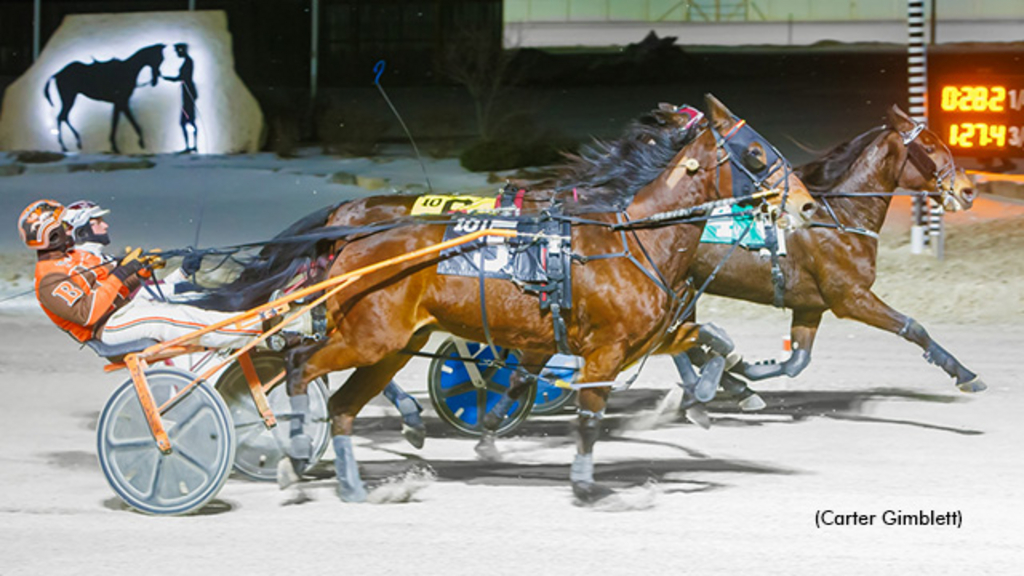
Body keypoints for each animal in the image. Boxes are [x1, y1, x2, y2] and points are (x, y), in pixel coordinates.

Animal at [256, 94, 815, 498]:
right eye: (756, 152)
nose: (807, 205)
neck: (630, 238)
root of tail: (352, 230)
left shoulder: (648, 335)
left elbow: (715, 339)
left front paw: (717, 393)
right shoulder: (605, 350)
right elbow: (588, 414)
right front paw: (587, 484)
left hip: (392, 344)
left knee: (343, 403)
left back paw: (353, 481)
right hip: (368, 338)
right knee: (300, 362)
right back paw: (297, 448)